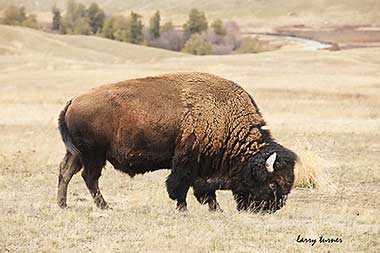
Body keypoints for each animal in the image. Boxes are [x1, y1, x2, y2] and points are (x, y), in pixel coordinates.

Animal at [57, 72, 296, 212]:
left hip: (77, 153)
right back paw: (105, 207)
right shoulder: (186, 160)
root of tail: (73, 101)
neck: (225, 118)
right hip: (94, 155)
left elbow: (204, 188)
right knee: (89, 177)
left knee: (66, 172)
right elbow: (180, 185)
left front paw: (215, 208)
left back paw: (63, 205)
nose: (271, 209)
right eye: (273, 183)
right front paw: (184, 209)